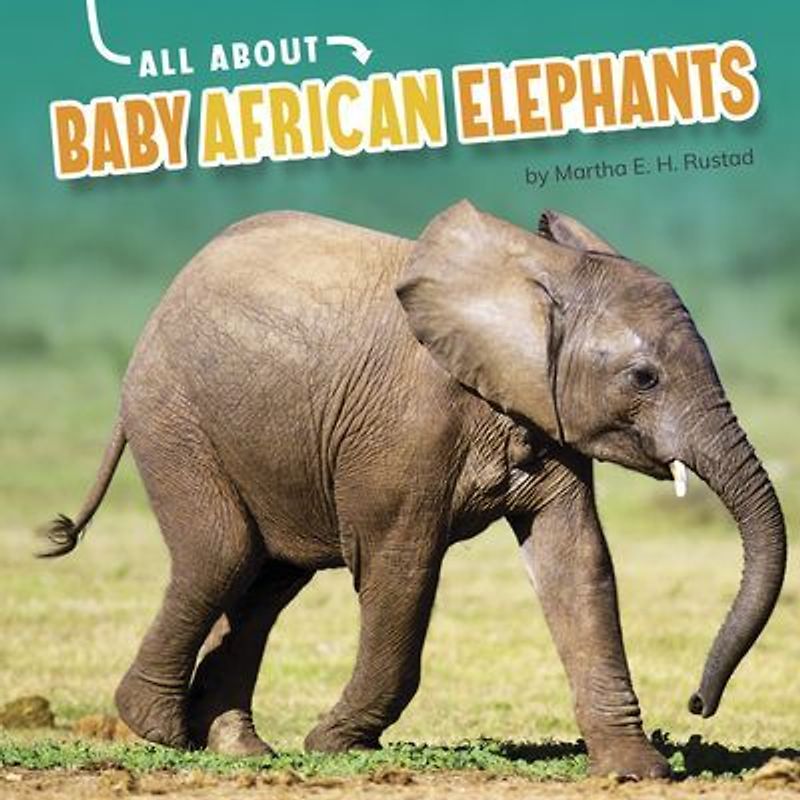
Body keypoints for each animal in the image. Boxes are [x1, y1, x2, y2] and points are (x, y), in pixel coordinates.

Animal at [42, 201, 786, 779]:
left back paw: (239, 749)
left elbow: (577, 562)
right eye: (644, 378)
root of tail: (164, 301)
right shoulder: (405, 430)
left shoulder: (539, 410)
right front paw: (335, 744)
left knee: (266, 580)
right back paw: (160, 729)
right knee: (221, 554)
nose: (697, 705)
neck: (535, 276)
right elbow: (400, 568)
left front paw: (635, 771)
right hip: (175, 415)